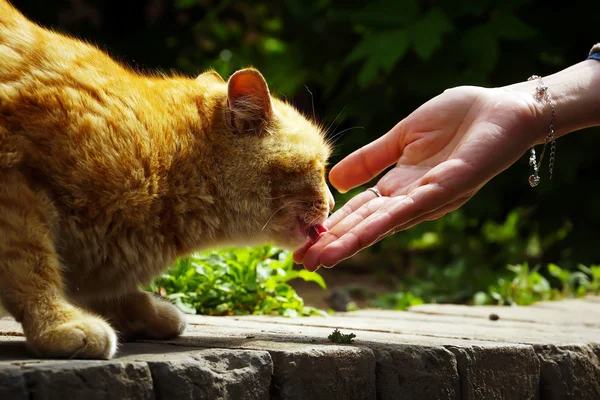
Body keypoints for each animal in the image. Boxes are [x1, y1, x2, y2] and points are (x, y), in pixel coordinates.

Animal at [0, 0, 332, 360]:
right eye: (317, 166)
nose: (332, 202)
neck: (166, 158)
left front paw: (146, 313)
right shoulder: (15, 190)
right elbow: (32, 267)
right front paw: (59, 324)